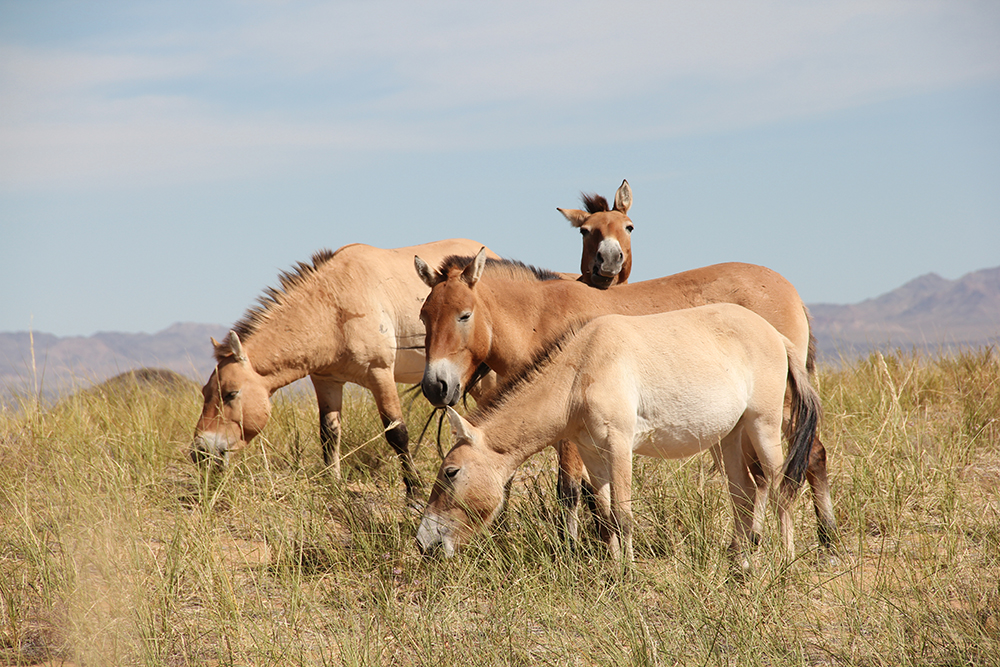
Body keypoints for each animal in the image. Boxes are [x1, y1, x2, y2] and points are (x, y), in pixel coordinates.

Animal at [188, 237, 500, 498]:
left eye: (230, 393)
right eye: (205, 392)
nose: (199, 452)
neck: (333, 307)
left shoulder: (379, 374)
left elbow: (397, 433)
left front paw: (414, 493)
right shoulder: (326, 381)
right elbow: (329, 433)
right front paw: (333, 484)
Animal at [410, 250, 840, 548]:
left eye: (464, 315)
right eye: (424, 316)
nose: (436, 387)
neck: (539, 316)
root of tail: (790, 293)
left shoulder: (576, 439)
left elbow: (571, 491)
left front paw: (572, 550)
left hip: (775, 415)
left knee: (806, 460)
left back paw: (824, 543)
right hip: (735, 429)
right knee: (757, 482)